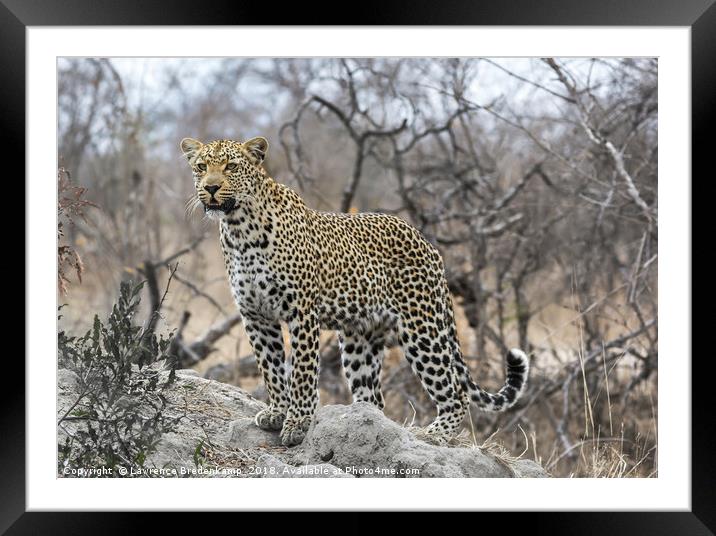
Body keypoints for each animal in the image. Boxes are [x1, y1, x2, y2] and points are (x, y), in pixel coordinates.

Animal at [179, 136, 524, 446]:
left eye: (231, 166)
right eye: (201, 167)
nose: (210, 188)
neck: (239, 228)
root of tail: (428, 244)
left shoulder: (301, 312)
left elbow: (302, 371)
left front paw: (298, 423)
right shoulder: (255, 316)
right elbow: (270, 367)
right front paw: (276, 412)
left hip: (422, 329)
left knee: (456, 392)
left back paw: (434, 434)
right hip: (362, 336)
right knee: (374, 397)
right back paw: (362, 424)